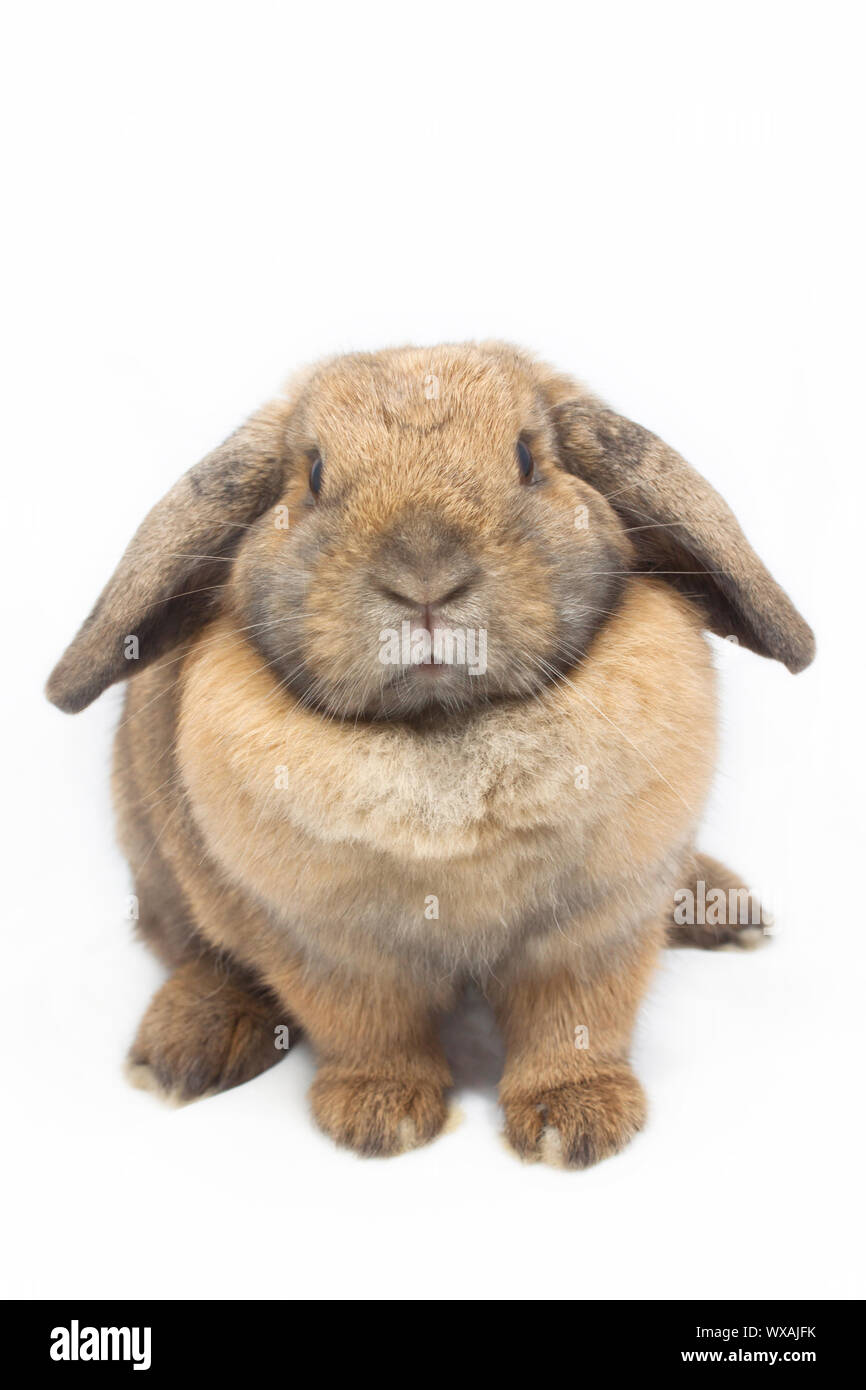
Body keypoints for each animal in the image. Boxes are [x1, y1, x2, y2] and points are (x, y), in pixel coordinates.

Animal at [46, 342, 814, 1167]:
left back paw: (728, 910)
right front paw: (382, 1118)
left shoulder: (595, 927)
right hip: (157, 861)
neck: (444, 730)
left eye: (527, 458)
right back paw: (186, 1047)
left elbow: (573, 1025)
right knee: (196, 951)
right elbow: (371, 1035)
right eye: (312, 475)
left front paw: (575, 1123)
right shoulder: (331, 951)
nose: (424, 576)